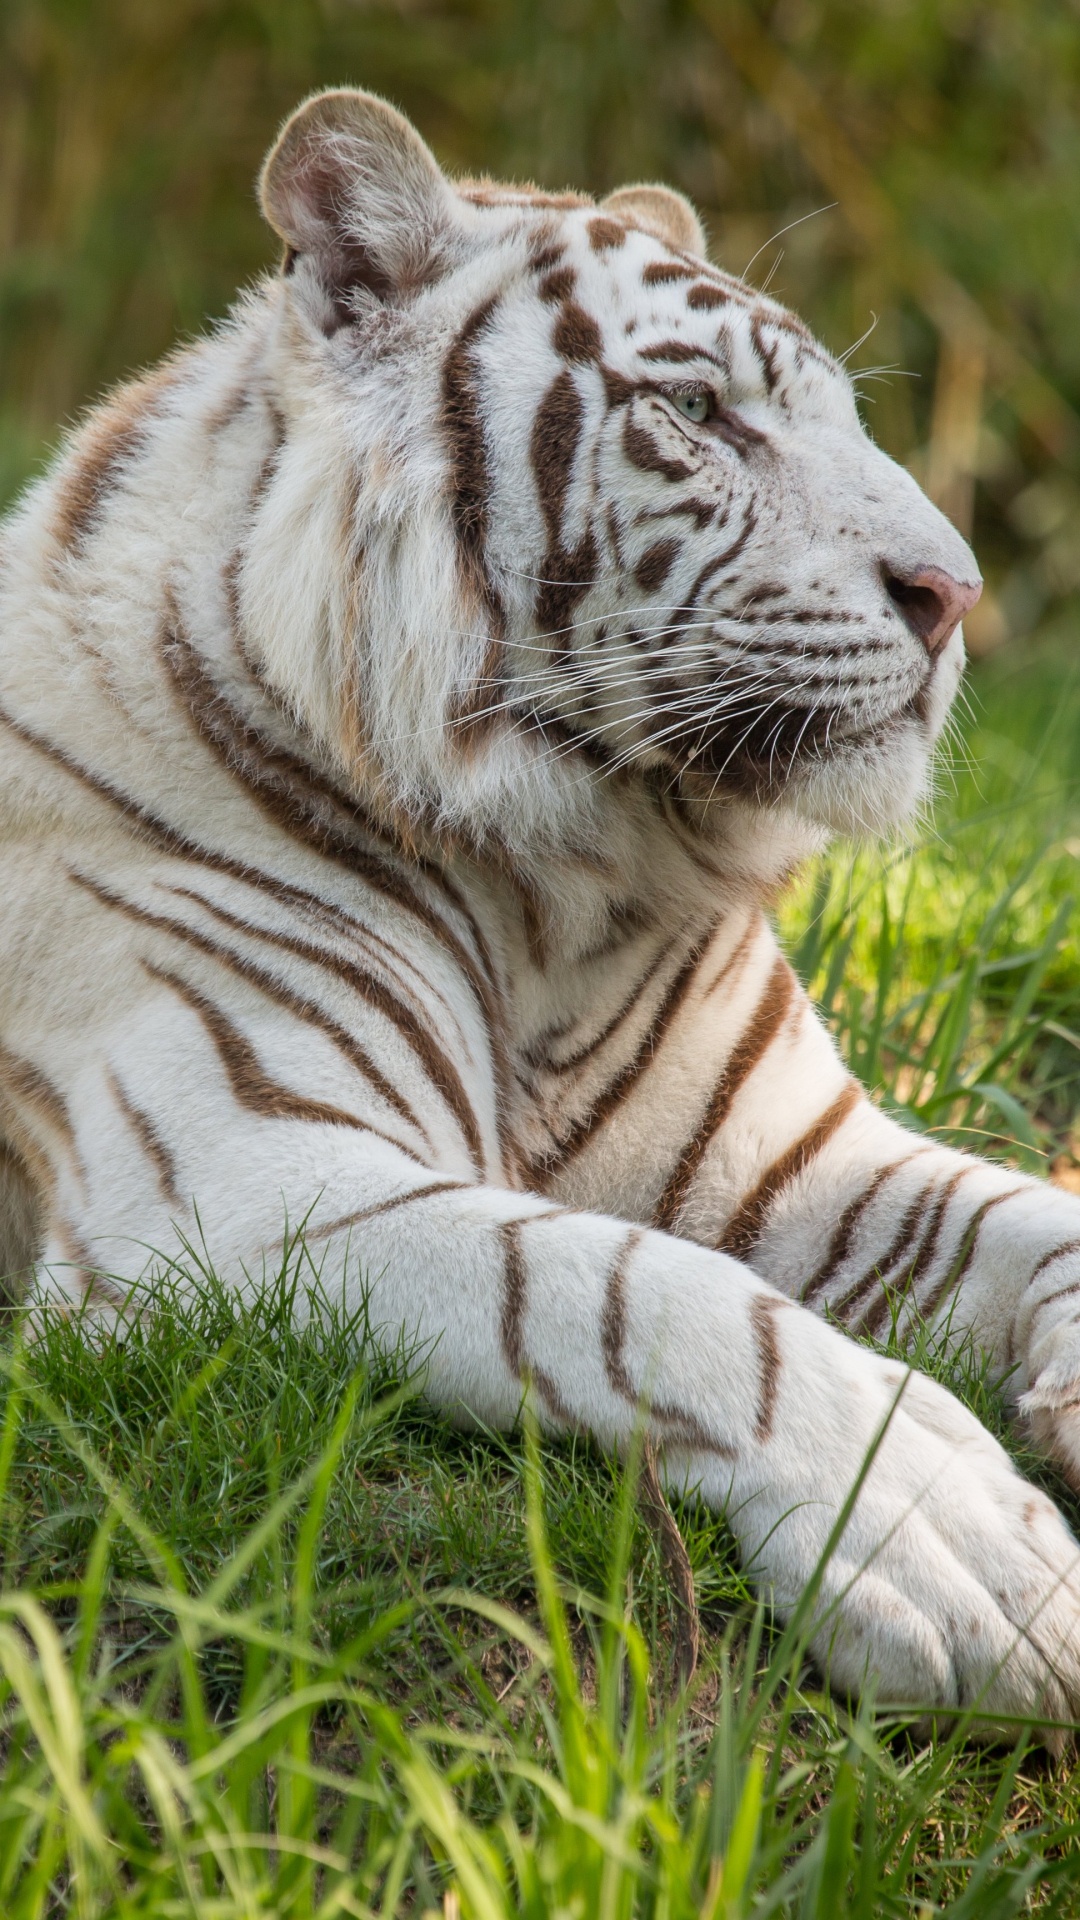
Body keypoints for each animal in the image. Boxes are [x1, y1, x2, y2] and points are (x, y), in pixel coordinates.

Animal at [4, 84, 1080, 1726]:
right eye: (699, 412)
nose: (956, 595)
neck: (566, 897)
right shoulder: (228, 1183)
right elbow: (633, 1289)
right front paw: (956, 1540)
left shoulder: (800, 1160)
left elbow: (1031, 1215)